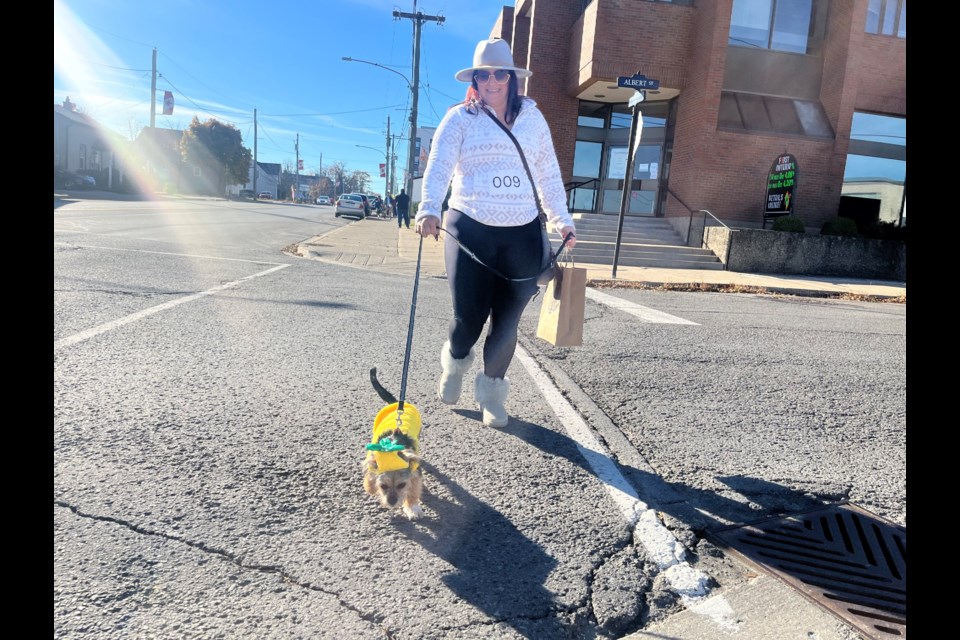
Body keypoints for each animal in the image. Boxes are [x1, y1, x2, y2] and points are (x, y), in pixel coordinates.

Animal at [364, 370, 424, 520]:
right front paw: (370, 486)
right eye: (383, 486)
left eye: (402, 485)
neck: (390, 448)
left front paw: (412, 508)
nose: (392, 502)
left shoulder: (415, 472)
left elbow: (413, 490)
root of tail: (397, 403)